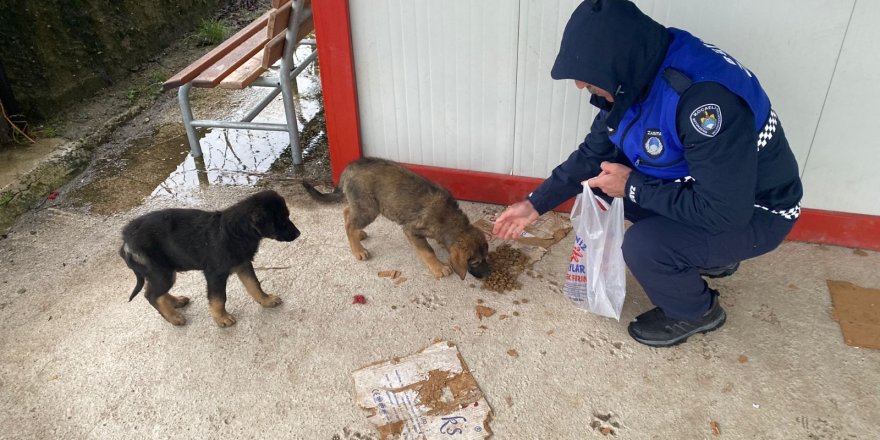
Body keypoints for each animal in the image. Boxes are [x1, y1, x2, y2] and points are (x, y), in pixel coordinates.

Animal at [118, 190, 300, 326]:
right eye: (282, 220)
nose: (298, 233)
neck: (238, 232)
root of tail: (126, 239)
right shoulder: (215, 274)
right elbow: (219, 298)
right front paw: (222, 318)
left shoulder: (243, 264)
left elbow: (254, 285)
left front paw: (266, 300)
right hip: (162, 272)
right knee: (151, 295)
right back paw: (173, 317)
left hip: (162, 272)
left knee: (155, 292)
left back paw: (176, 302)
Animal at [304, 158, 492, 280]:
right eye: (475, 263)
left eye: (486, 258)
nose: (489, 274)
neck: (450, 221)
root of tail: (351, 166)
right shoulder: (411, 230)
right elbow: (427, 250)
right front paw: (438, 268)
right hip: (369, 208)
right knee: (350, 223)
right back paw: (358, 250)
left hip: (364, 204)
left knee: (347, 211)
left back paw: (359, 235)